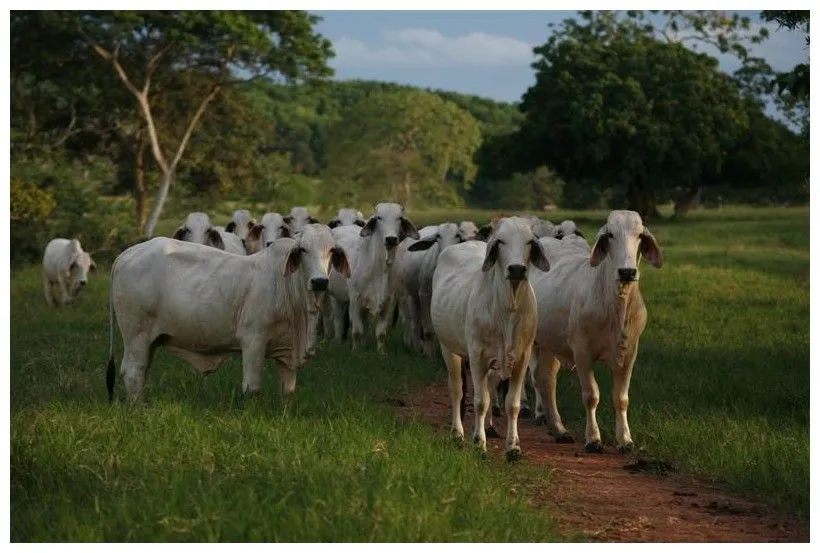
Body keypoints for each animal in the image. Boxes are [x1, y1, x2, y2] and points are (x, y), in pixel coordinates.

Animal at [105, 223, 350, 402]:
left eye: (332, 250)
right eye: (303, 250)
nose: (319, 282)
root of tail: (126, 254)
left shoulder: (288, 350)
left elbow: (287, 390)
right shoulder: (253, 340)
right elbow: (252, 386)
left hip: (149, 341)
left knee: (142, 370)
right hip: (136, 334)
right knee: (133, 371)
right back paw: (138, 407)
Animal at [430, 216, 552, 462]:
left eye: (528, 242)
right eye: (501, 242)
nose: (517, 269)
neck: (508, 308)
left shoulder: (521, 358)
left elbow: (512, 404)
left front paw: (513, 447)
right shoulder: (477, 356)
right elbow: (480, 401)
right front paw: (478, 443)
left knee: (489, 387)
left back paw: (488, 427)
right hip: (449, 348)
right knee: (457, 390)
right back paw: (457, 434)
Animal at [528, 209, 664, 450]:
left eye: (639, 235)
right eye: (609, 235)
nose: (627, 272)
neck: (616, 307)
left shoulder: (630, 353)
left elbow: (621, 398)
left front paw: (625, 439)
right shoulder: (582, 352)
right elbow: (591, 395)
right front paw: (593, 438)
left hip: (549, 346)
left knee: (546, 381)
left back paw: (559, 429)